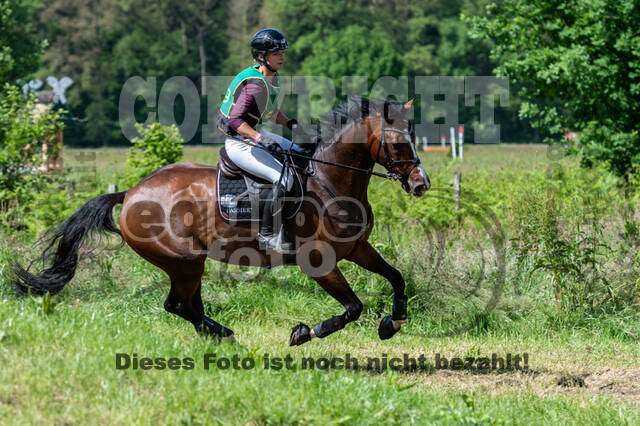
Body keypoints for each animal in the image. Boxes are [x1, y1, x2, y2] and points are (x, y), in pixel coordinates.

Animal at [12, 96, 430, 346]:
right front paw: (304, 332)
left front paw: (393, 322)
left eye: (414, 134)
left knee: (185, 306)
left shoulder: (357, 248)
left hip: (187, 263)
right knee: (180, 305)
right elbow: (352, 308)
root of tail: (130, 193)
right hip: (183, 261)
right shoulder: (319, 262)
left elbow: (396, 277)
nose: (421, 184)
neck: (331, 182)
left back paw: (220, 335)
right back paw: (225, 335)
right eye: (398, 142)